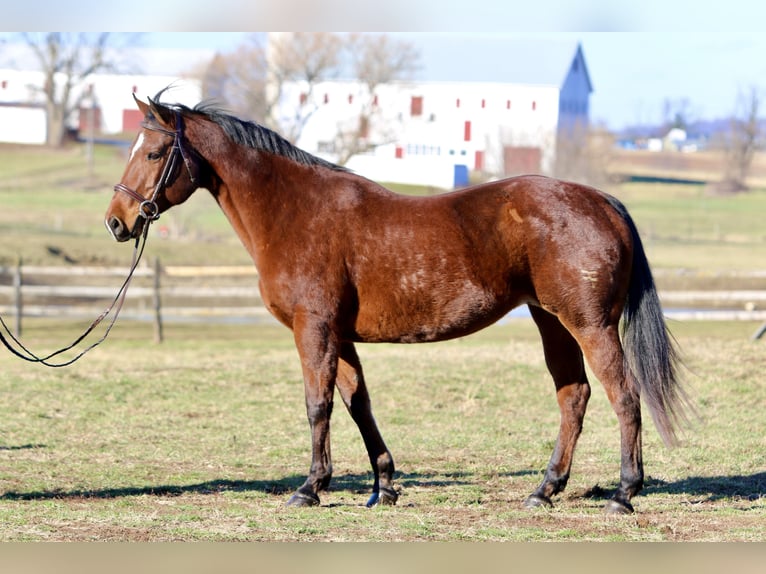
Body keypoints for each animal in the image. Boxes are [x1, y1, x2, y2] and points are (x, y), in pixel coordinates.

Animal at [103, 92, 688, 516]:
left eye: (153, 153)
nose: (117, 221)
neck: (295, 211)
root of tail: (601, 200)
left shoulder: (313, 329)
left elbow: (317, 405)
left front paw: (310, 487)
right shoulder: (339, 336)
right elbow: (357, 403)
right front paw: (382, 484)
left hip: (590, 325)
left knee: (624, 395)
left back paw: (623, 493)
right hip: (553, 322)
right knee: (574, 396)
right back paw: (544, 490)